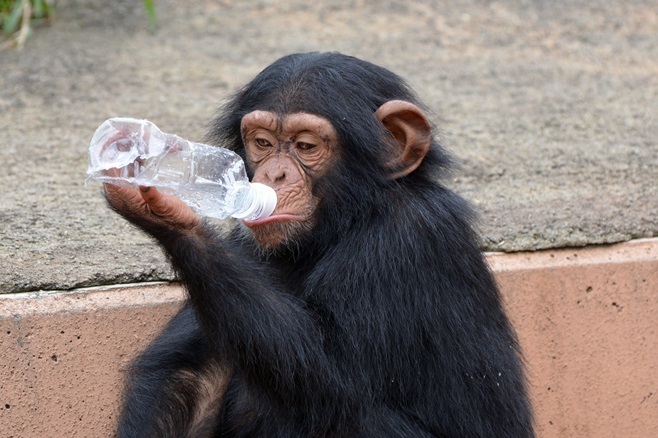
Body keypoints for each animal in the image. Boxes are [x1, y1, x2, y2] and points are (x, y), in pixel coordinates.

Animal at [104, 52, 532, 438]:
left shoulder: (407, 240)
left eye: (306, 146)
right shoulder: (243, 245)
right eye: (263, 142)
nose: (273, 174)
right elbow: (190, 373)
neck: (349, 220)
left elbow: (333, 384)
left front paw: (170, 212)